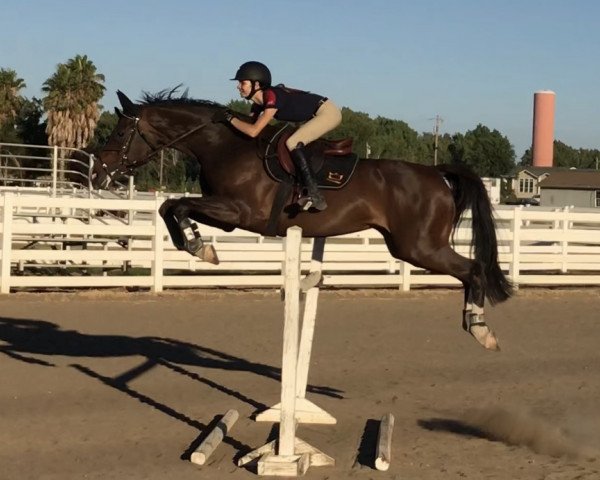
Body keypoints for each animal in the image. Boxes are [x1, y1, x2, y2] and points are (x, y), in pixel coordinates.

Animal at [97, 90, 510, 350]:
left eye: (121, 131)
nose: (101, 172)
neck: (224, 145)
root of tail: (437, 174)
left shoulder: (239, 212)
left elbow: (175, 205)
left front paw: (202, 248)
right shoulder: (225, 212)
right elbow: (170, 207)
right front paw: (199, 244)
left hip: (420, 246)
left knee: (473, 270)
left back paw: (481, 330)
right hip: (407, 246)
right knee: (470, 271)